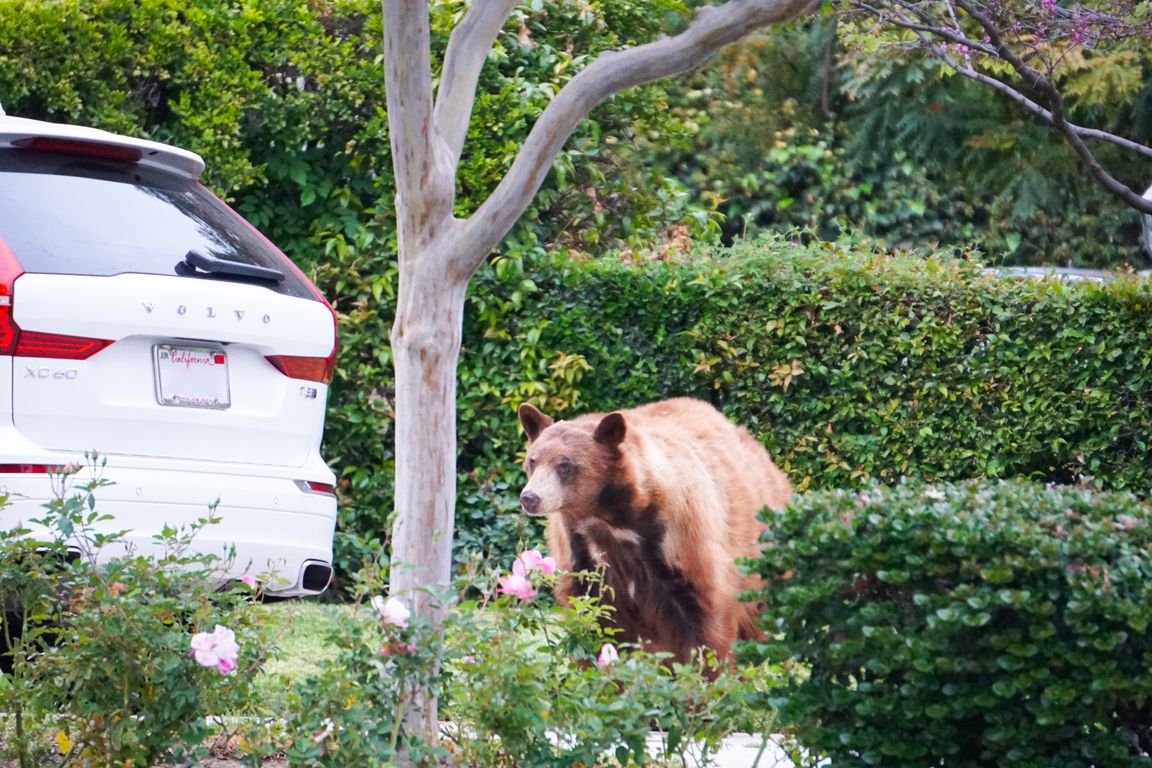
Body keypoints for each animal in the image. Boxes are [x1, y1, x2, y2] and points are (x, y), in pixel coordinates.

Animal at [517, 397, 792, 666]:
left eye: (565, 465)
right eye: (533, 460)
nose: (529, 497)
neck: (610, 520)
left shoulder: (683, 541)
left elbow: (710, 628)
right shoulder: (581, 559)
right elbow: (592, 628)